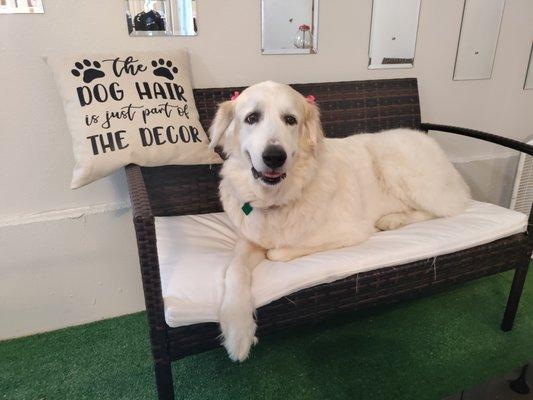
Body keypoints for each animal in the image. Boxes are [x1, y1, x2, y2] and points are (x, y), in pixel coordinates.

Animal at [208, 80, 470, 360]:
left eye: (290, 120)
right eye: (252, 118)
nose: (274, 156)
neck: (277, 198)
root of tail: (433, 144)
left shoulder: (352, 231)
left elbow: (277, 252)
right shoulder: (249, 238)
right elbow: (235, 269)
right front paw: (238, 333)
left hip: (392, 161)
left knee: (445, 208)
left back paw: (392, 220)